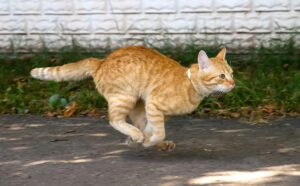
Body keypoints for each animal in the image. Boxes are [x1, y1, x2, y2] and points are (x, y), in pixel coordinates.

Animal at [31, 46, 234, 151]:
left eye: (231, 73)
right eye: (222, 76)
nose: (233, 84)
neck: (189, 83)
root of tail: (101, 61)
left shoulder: (152, 110)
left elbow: (151, 128)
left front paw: (145, 140)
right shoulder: (153, 104)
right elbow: (158, 132)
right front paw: (147, 141)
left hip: (137, 104)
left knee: (136, 123)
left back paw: (145, 140)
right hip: (124, 98)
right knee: (114, 119)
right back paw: (137, 136)